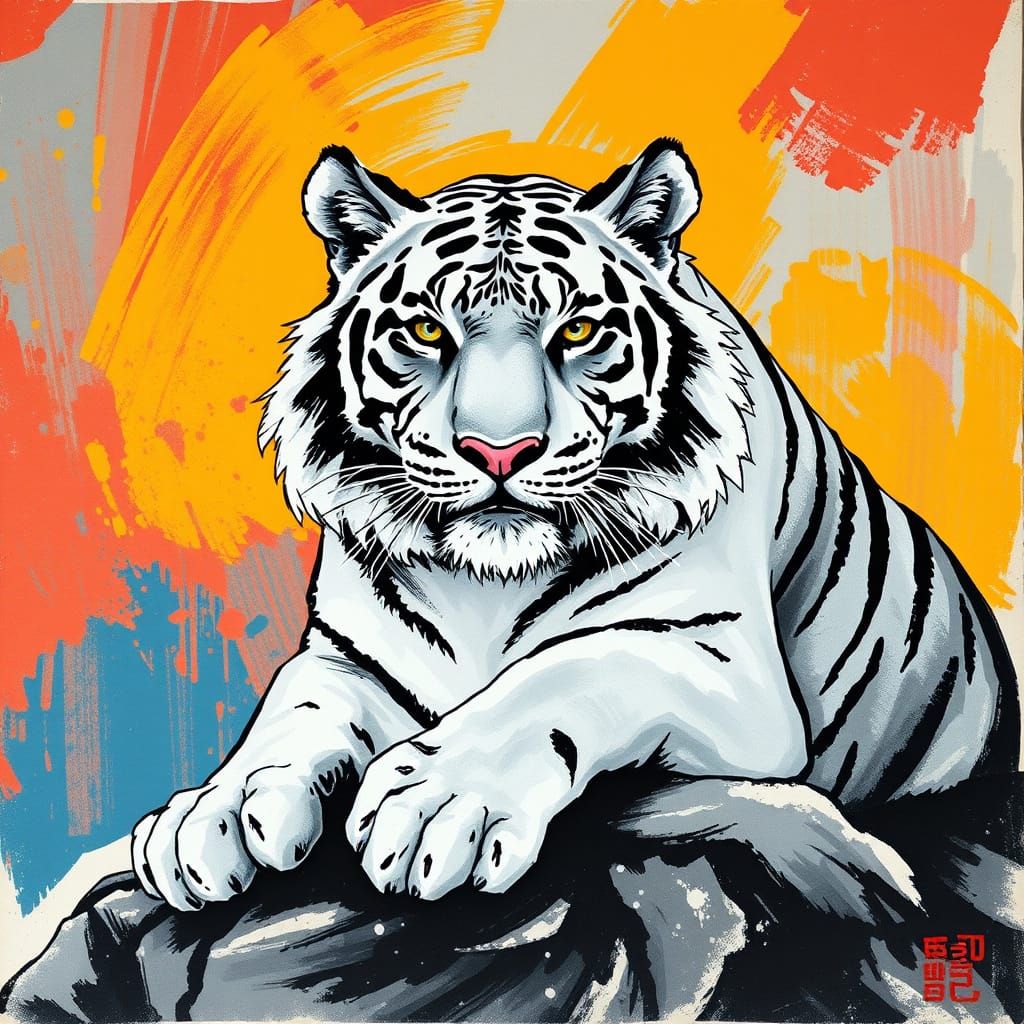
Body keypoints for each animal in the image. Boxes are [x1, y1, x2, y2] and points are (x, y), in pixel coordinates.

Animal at [129, 138, 1019, 913]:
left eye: (578, 332)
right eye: (427, 331)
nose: (499, 450)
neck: (483, 585)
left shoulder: (722, 662)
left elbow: (570, 668)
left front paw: (437, 804)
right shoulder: (349, 655)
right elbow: (292, 709)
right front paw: (212, 813)